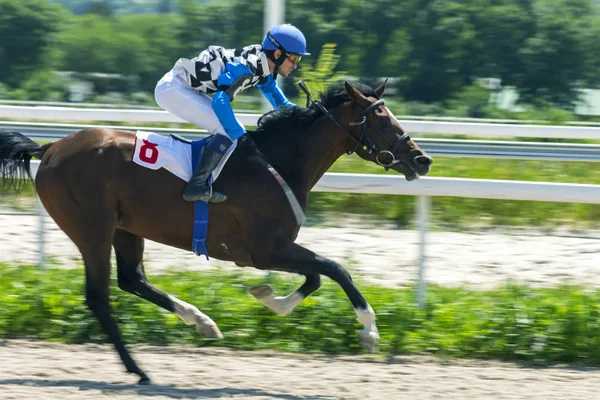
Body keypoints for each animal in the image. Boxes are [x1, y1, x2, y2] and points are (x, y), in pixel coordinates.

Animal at [0, 80, 432, 384]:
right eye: (381, 119)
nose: (422, 160)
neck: (279, 162)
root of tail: (52, 147)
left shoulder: (274, 248)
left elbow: (316, 276)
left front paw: (270, 299)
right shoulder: (265, 248)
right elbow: (335, 269)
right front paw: (370, 332)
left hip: (126, 227)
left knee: (132, 279)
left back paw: (201, 322)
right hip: (92, 228)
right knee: (100, 297)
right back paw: (139, 369)